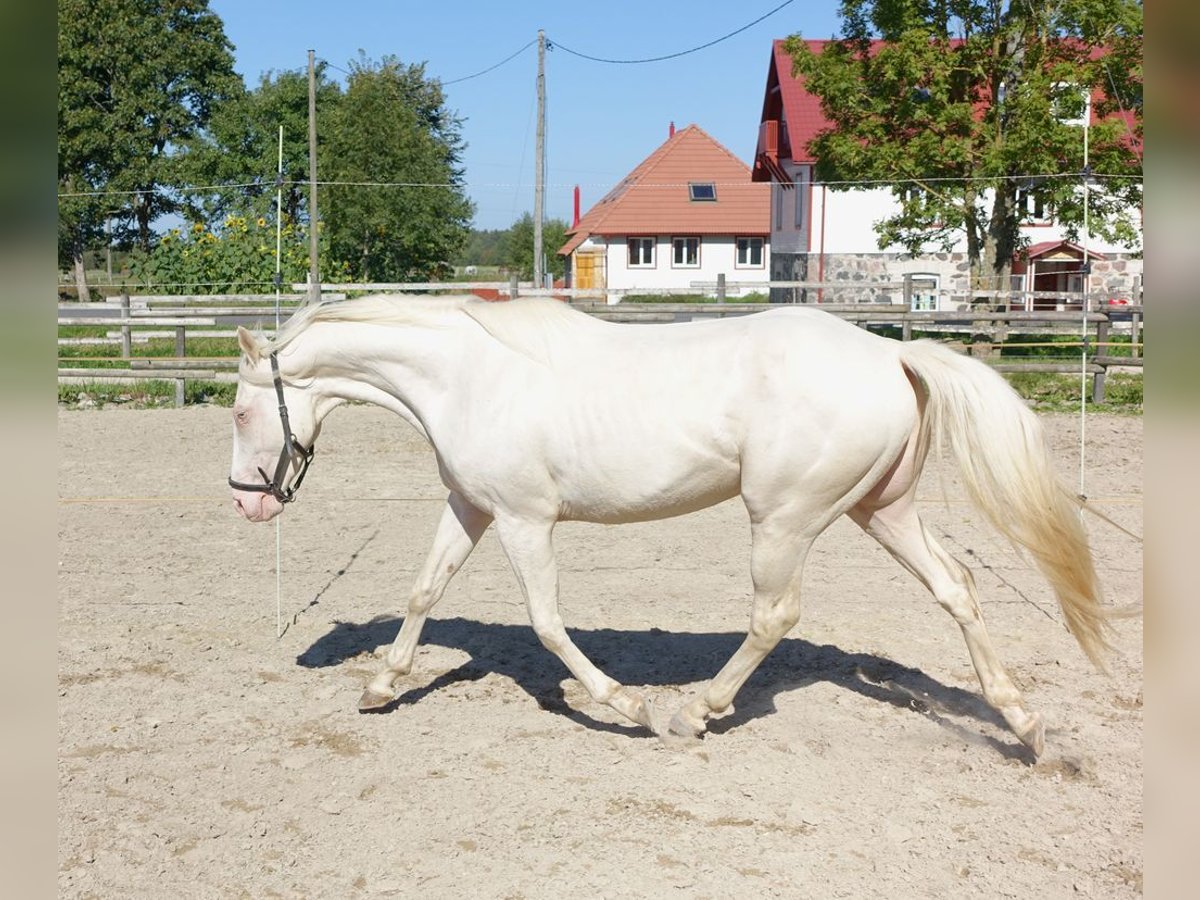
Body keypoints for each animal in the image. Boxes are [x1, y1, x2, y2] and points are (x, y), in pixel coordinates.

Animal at [229, 292, 1108, 758]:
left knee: (773, 614)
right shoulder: (472, 507)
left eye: (240, 411)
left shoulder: (523, 518)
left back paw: (695, 712)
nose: (247, 502)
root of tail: (890, 355)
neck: (468, 379)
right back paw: (1026, 727)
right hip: (880, 509)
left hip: (784, 518)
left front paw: (629, 708)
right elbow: (423, 591)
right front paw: (380, 688)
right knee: (957, 588)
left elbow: (547, 624)